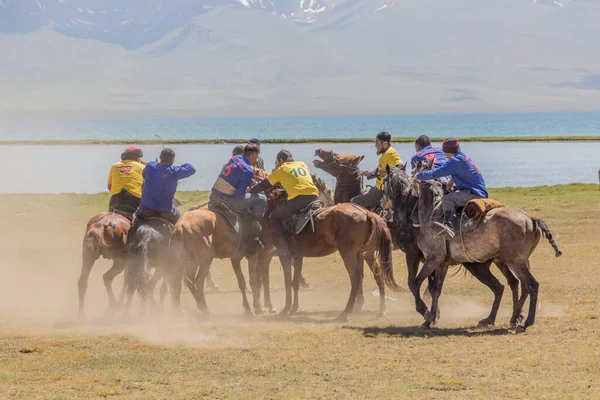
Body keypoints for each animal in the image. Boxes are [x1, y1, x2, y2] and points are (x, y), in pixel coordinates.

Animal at [410, 161, 560, 332]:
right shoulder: (442, 264)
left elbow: (415, 283)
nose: (412, 217)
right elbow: (436, 290)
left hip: (514, 262)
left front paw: (426, 313)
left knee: (530, 285)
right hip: (516, 261)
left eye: (413, 173)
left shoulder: (433, 259)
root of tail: (530, 219)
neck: (430, 216)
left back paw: (525, 322)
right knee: (520, 286)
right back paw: (511, 318)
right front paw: (430, 320)